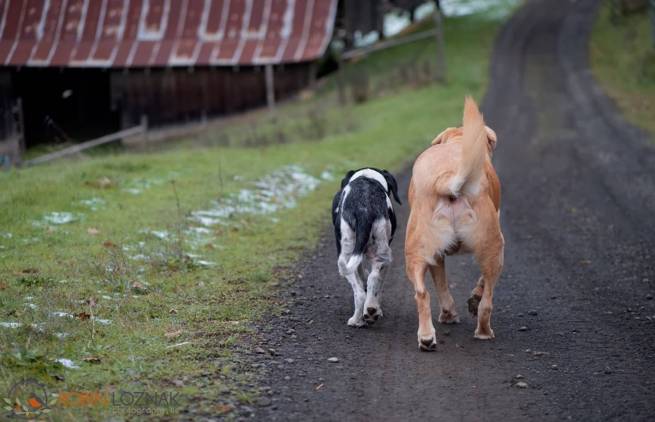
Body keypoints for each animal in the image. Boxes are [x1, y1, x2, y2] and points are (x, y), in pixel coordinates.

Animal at [330, 167, 402, 326]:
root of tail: (364, 209)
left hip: (346, 255)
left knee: (360, 292)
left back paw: (356, 320)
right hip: (381, 251)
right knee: (373, 280)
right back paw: (371, 310)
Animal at [404, 97, 508, 352]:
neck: (459, 141)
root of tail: (447, 176)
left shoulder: (437, 256)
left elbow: (442, 286)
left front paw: (451, 312)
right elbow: (478, 282)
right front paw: (466, 303)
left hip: (417, 251)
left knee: (422, 294)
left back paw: (427, 337)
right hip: (495, 246)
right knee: (487, 299)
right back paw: (483, 332)